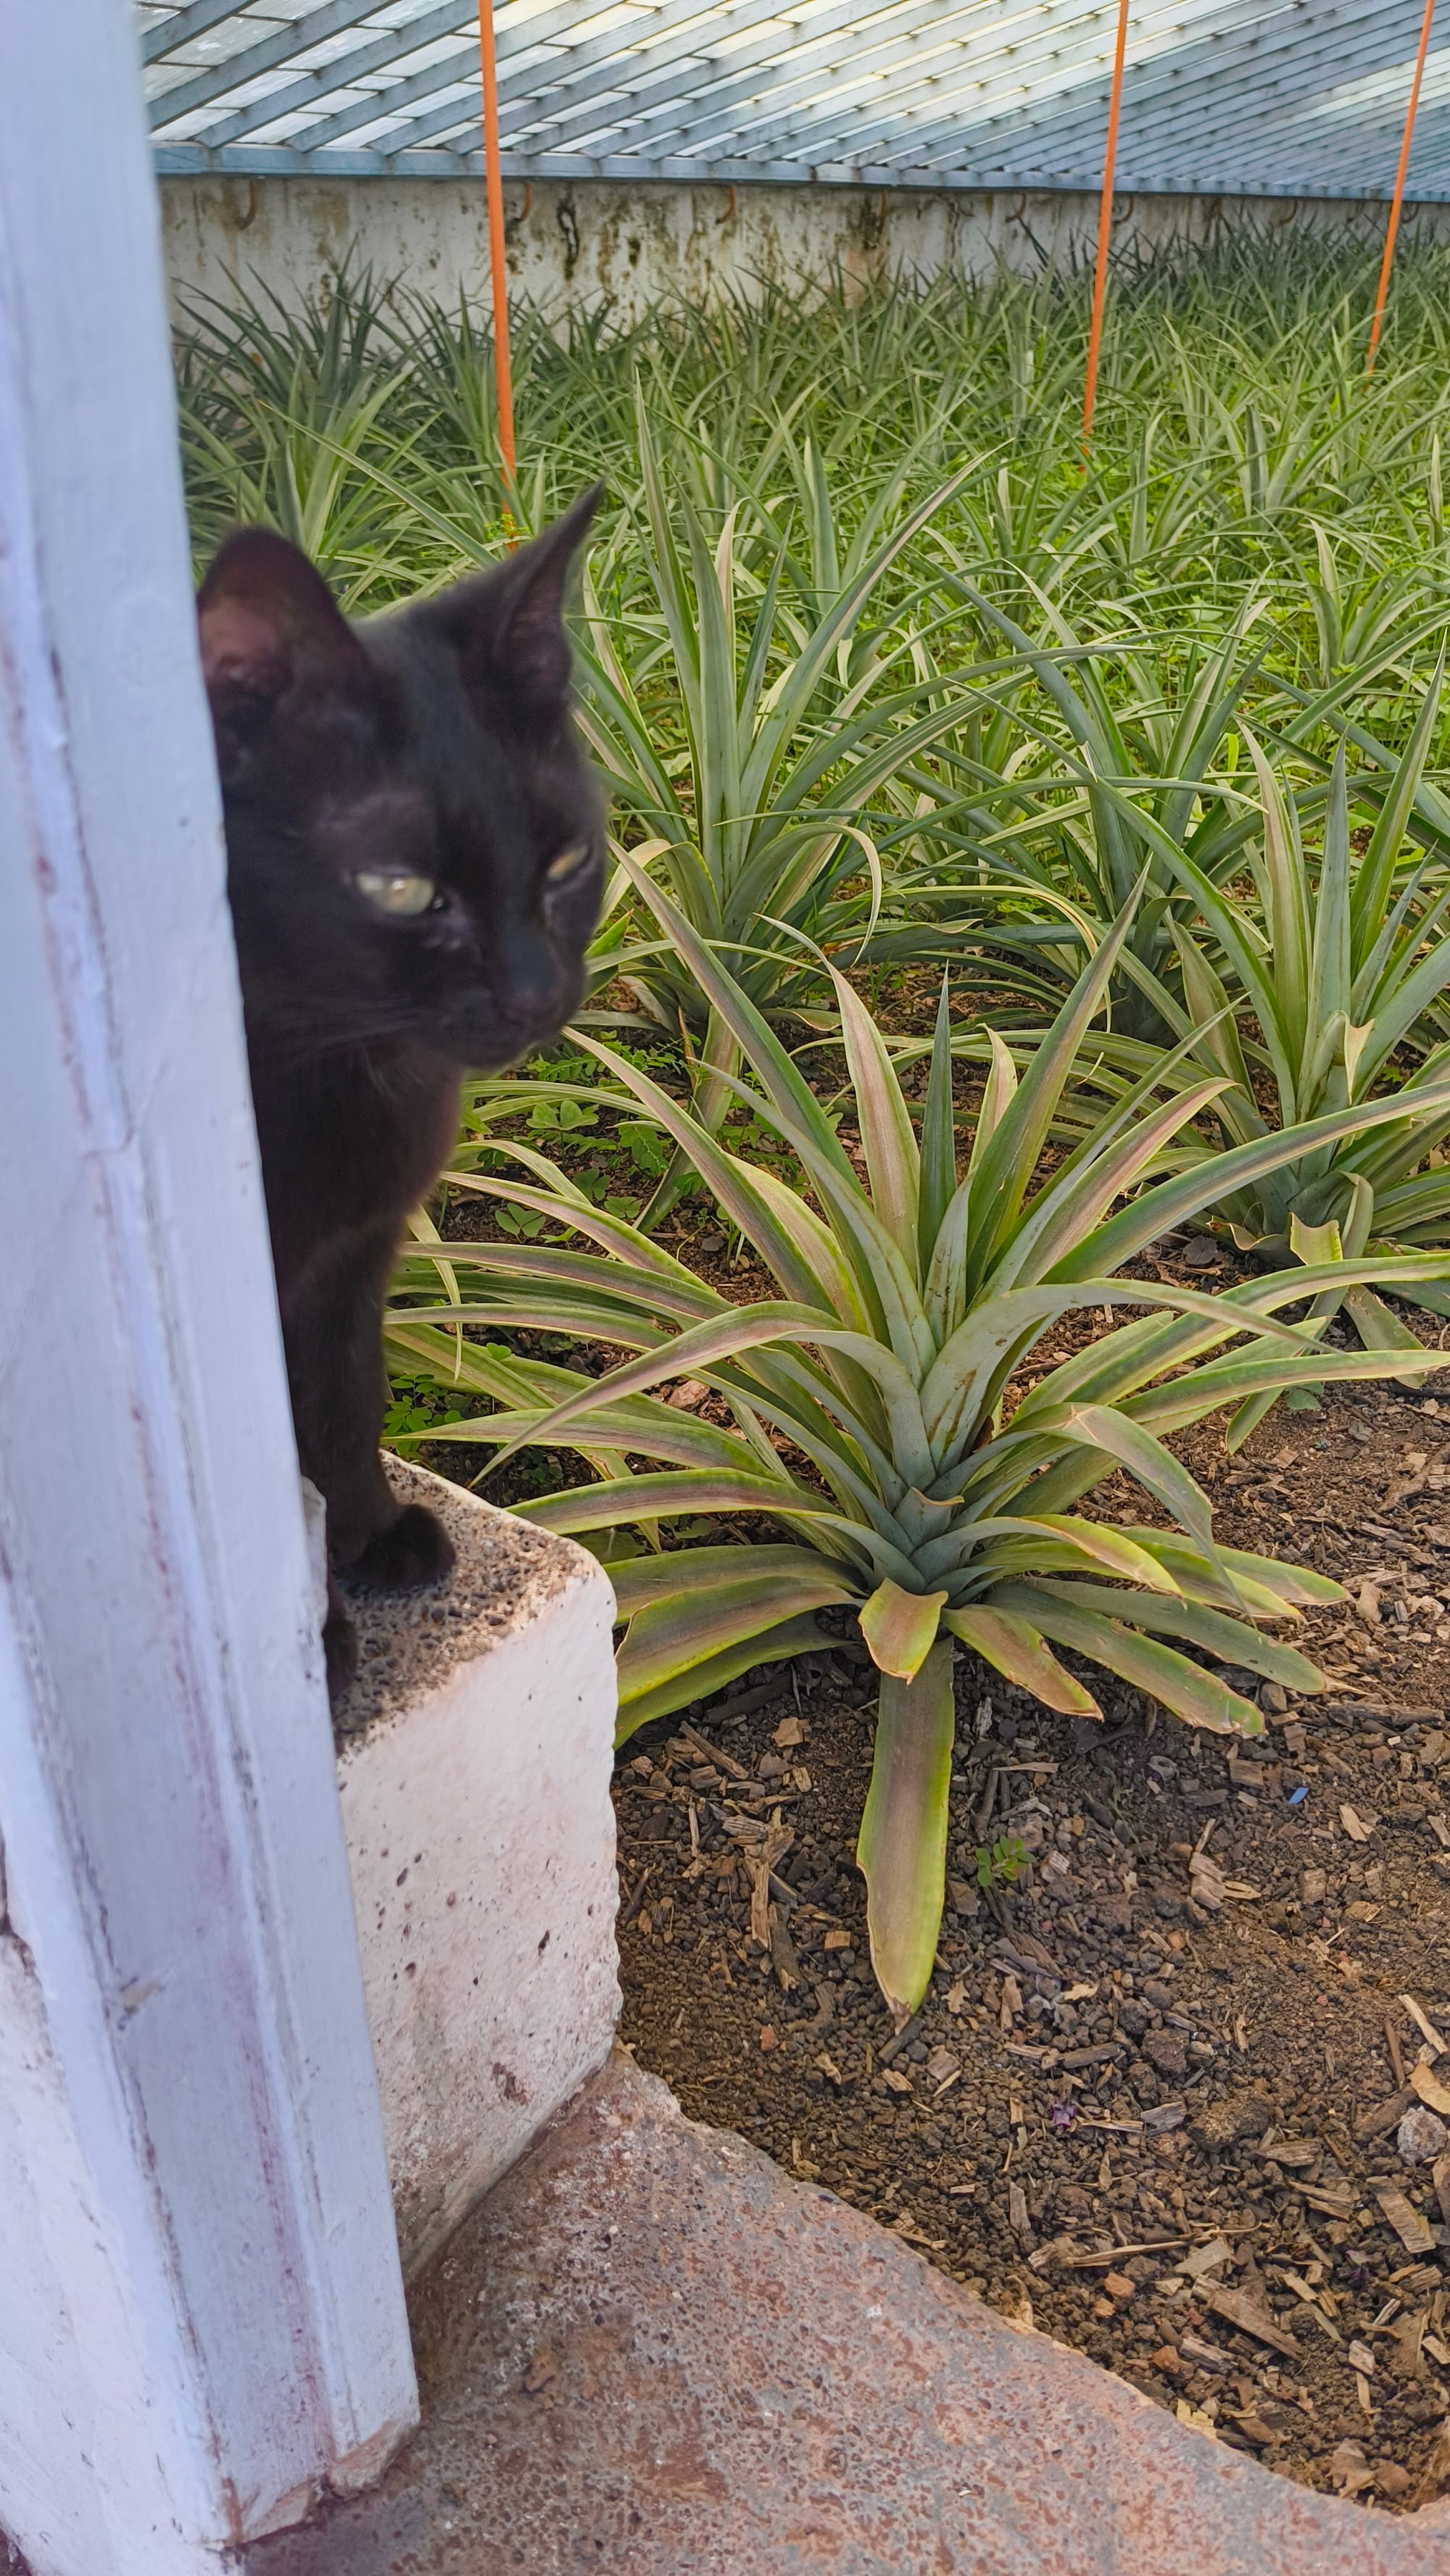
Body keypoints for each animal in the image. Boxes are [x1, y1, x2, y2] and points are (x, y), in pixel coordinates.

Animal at [195, 486, 605, 1690]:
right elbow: (267, 1479)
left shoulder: (353, 1258)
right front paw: (317, 1645)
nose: (535, 990)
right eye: (399, 887)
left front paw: (375, 1535)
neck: (343, 1070)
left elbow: (343, 1401)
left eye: (565, 862)